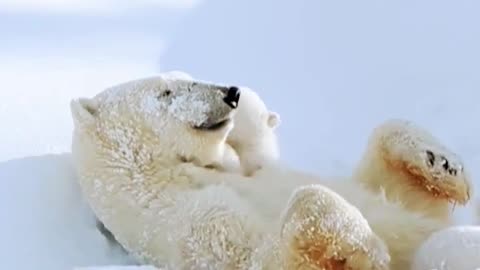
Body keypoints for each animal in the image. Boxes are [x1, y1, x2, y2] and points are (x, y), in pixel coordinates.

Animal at [70, 75, 468, 270]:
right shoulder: (195, 226)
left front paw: (443, 164)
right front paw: (369, 249)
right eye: (166, 92)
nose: (231, 92)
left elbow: (398, 193)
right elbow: (271, 256)